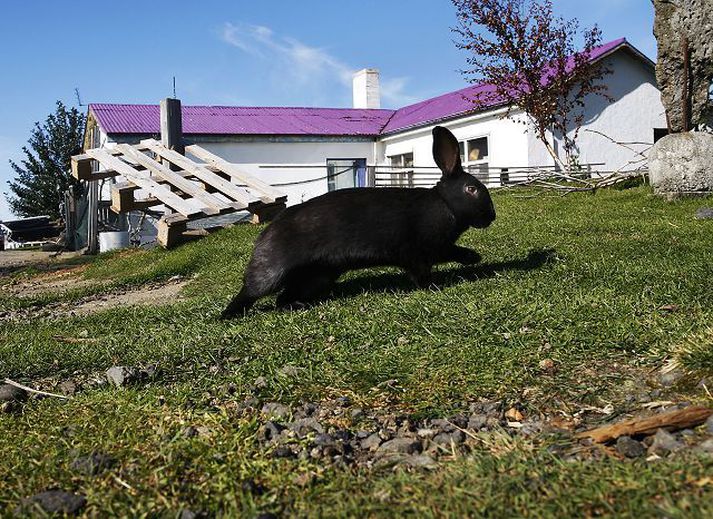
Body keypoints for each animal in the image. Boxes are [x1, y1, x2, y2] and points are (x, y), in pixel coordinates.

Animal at [220, 127, 492, 320]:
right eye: (471, 189)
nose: (492, 216)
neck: (445, 205)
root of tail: (265, 235)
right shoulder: (419, 253)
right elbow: (425, 272)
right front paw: (440, 283)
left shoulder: (435, 249)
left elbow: (452, 253)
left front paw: (473, 258)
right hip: (275, 273)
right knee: (252, 292)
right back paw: (228, 316)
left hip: (318, 276)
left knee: (283, 299)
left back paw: (299, 305)